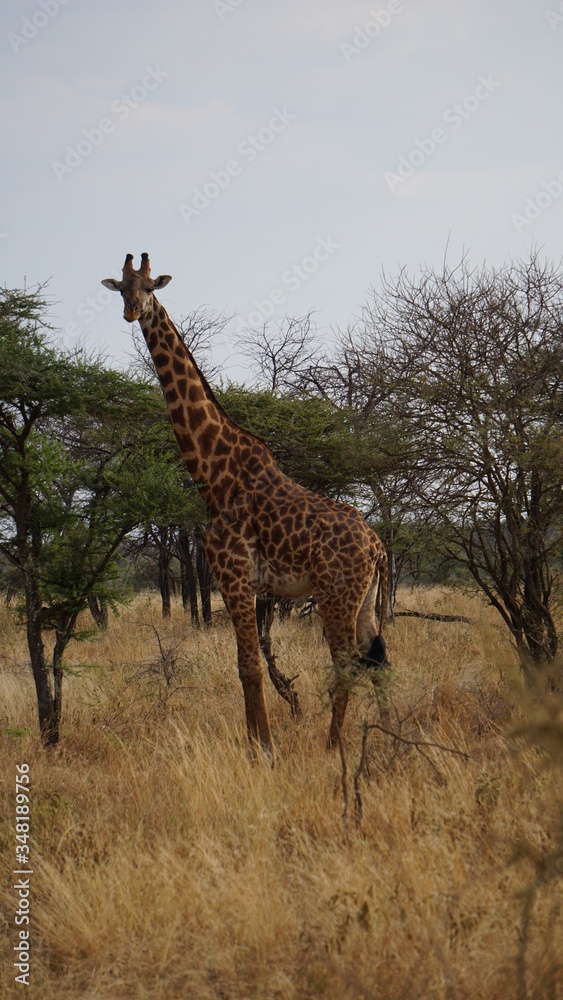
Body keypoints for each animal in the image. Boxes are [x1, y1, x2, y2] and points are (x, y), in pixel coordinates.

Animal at [102, 253, 388, 755]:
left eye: (150, 287)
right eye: (121, 287)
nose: (132, 311)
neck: (214, 476)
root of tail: (377, 547)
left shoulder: (234, 575)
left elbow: (250, 666)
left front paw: (265, 749)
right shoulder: (235, 581)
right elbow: (242, 666)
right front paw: (257, 743)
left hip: (335, 595)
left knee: (347, 664)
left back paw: (333, 748)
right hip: (365, 599)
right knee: (380, 664)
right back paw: (399, 739)